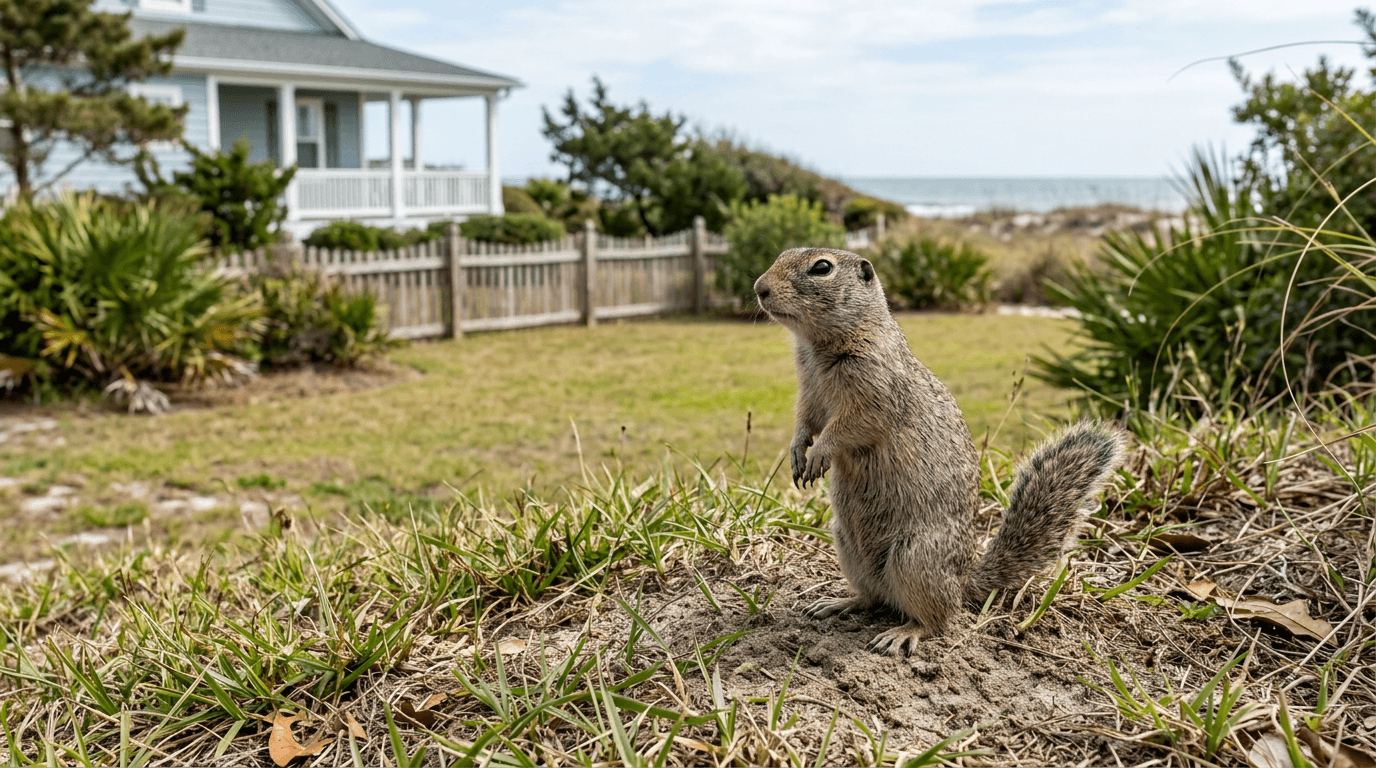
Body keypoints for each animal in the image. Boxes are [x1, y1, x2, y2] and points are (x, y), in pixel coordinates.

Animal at [753, 247, 1124, 655]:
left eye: (822, 268)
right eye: (782, 254)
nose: (759, 288)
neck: (817, 346)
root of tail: (964, 579)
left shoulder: (874, 395)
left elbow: (847, 428)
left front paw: (821, 453)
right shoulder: (809, 393)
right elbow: (805, 423)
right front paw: (797, 452)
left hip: (914, 560)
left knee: (939, 619)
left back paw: (903, 633)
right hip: (848, 549)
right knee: (873, 598)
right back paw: (839, 602)